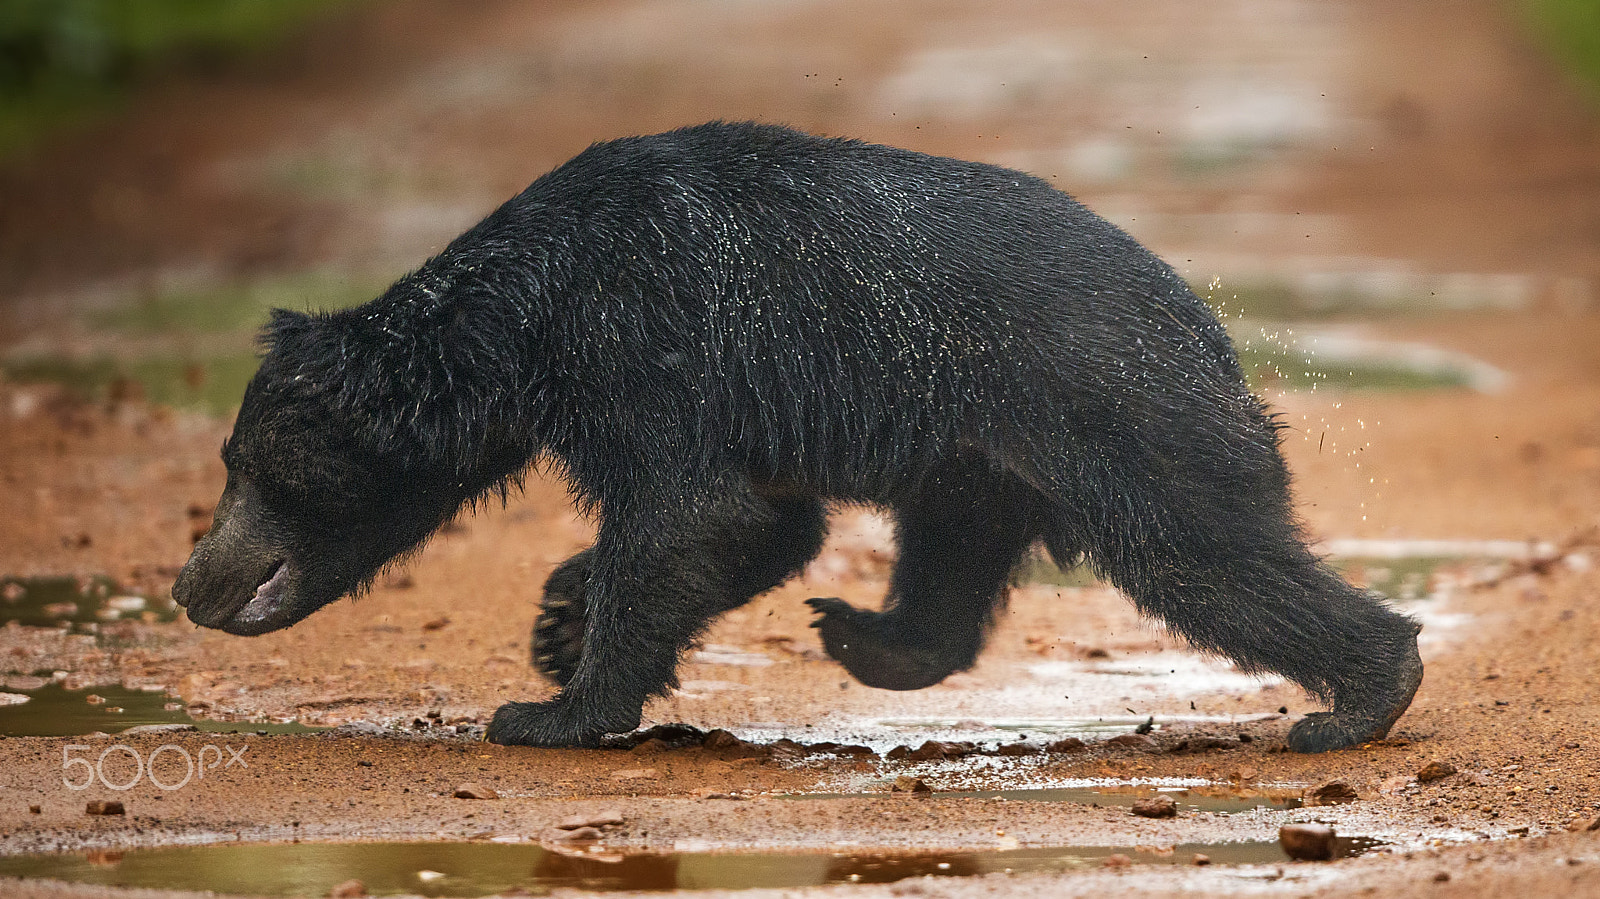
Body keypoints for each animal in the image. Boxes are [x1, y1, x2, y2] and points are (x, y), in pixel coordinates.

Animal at [172, 119, 1427, 748]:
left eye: (238, 465)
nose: (189, 580)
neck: (523, 327)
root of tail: (1209, 330)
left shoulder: (643, 341)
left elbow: (688, 512)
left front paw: (548, 708)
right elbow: (757, 522)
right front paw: (559, 622)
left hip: (1115, 416)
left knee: (1205, 556)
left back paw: (1361, 695)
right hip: (977, 455)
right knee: (953, 560)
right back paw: (870, 634)